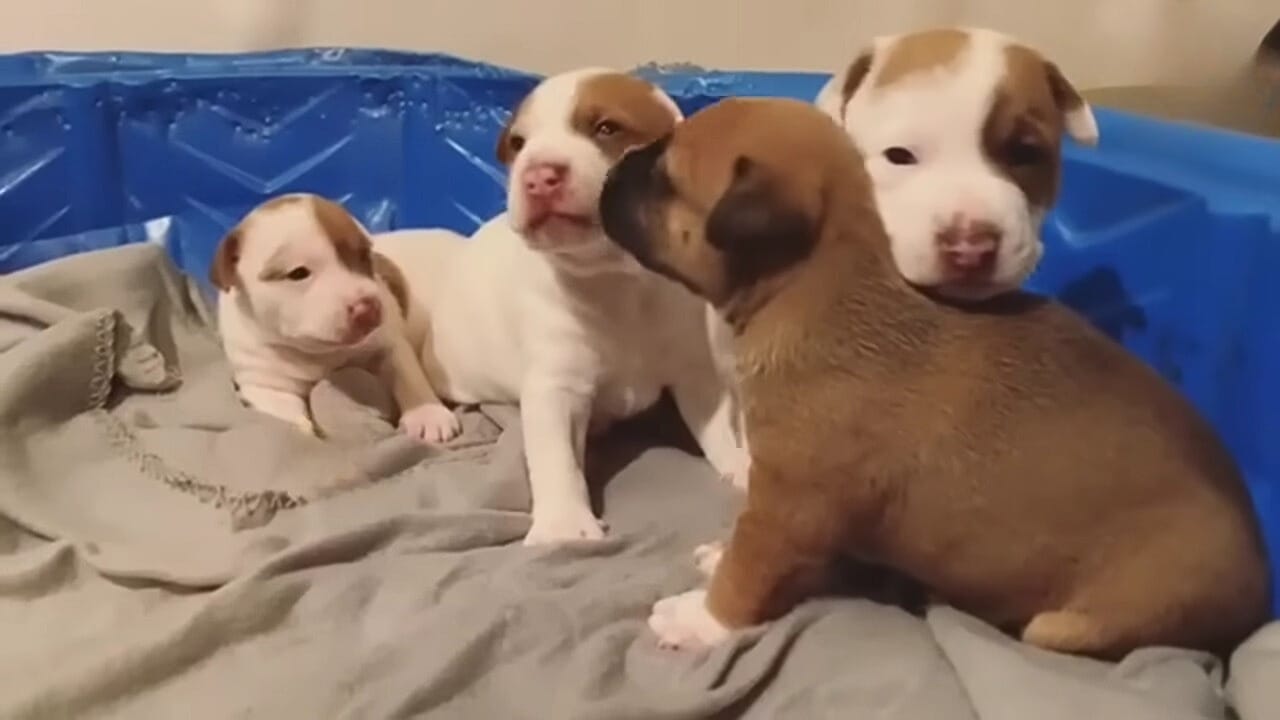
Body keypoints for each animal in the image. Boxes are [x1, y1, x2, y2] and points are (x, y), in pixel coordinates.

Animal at [212, 194, 463, 443]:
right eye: (298, 273)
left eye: (364, 255)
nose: (367, 308)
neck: (318, 354)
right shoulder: (263, 384)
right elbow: (284, 412)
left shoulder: (389, 342)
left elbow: (407, 374)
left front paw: (428, 414)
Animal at [373, 68, 747, 543]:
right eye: (518, 144)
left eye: (606, 128)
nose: (537, 175)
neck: (617, 279)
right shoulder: (555, 388)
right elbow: (557, 460)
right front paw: (565, 523)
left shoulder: (696, 372)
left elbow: (719, 427)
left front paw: (741, 465)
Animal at [596, 98, 1269, 661]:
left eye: (665, 179)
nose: (616, 167)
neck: (812, 283)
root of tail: (1259, 591)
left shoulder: (787, 508)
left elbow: (747, 573)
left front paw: (700, 620)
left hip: (1073, 622)